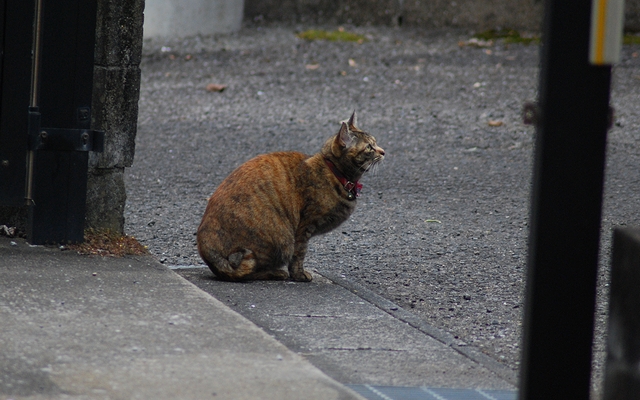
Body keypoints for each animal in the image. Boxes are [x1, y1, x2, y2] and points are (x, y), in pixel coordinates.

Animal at [198, 111, 382, 282]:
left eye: (376, 142)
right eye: (369, 147)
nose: (383, 152)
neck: (335, 173)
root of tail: (207, 251)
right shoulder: (305, 226)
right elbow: (299, 254)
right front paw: (299, 275)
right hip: (281, 239)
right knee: (249, 272)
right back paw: (276, 273)